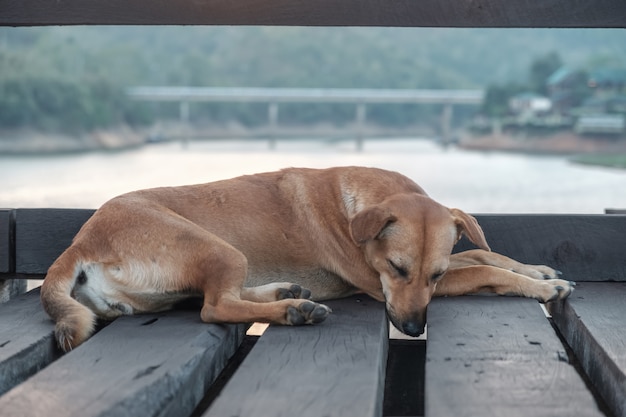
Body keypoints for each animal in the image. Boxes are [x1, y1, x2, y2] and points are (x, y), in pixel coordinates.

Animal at [41, 167, 572, 352]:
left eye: (435, 273)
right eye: (397, 269)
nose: (414, 328)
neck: (356, 206)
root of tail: (80, 241)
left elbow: (481, 251)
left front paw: (536, 270)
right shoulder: (375, 280)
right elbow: (483, 268)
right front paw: (543, 287)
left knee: (217, 297)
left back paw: (285, 292)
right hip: (217, 247)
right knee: (215, 306)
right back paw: (292, 309)